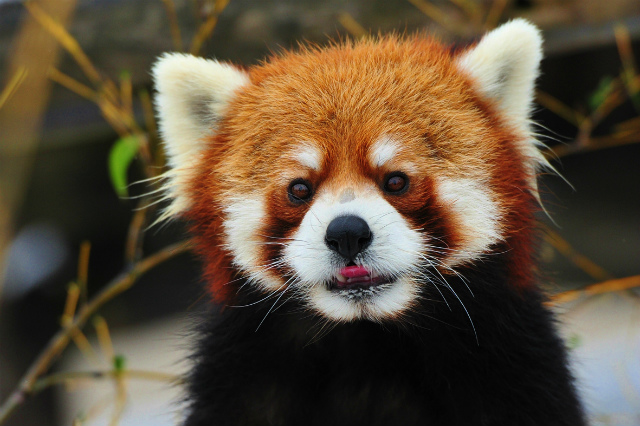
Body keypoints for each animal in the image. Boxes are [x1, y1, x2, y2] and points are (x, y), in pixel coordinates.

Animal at [154, 19, 584, 426]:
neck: (364, 343)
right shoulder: (241, 381)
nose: (347, 233)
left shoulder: (513, 370)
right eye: (299, 189)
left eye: (396, 181)